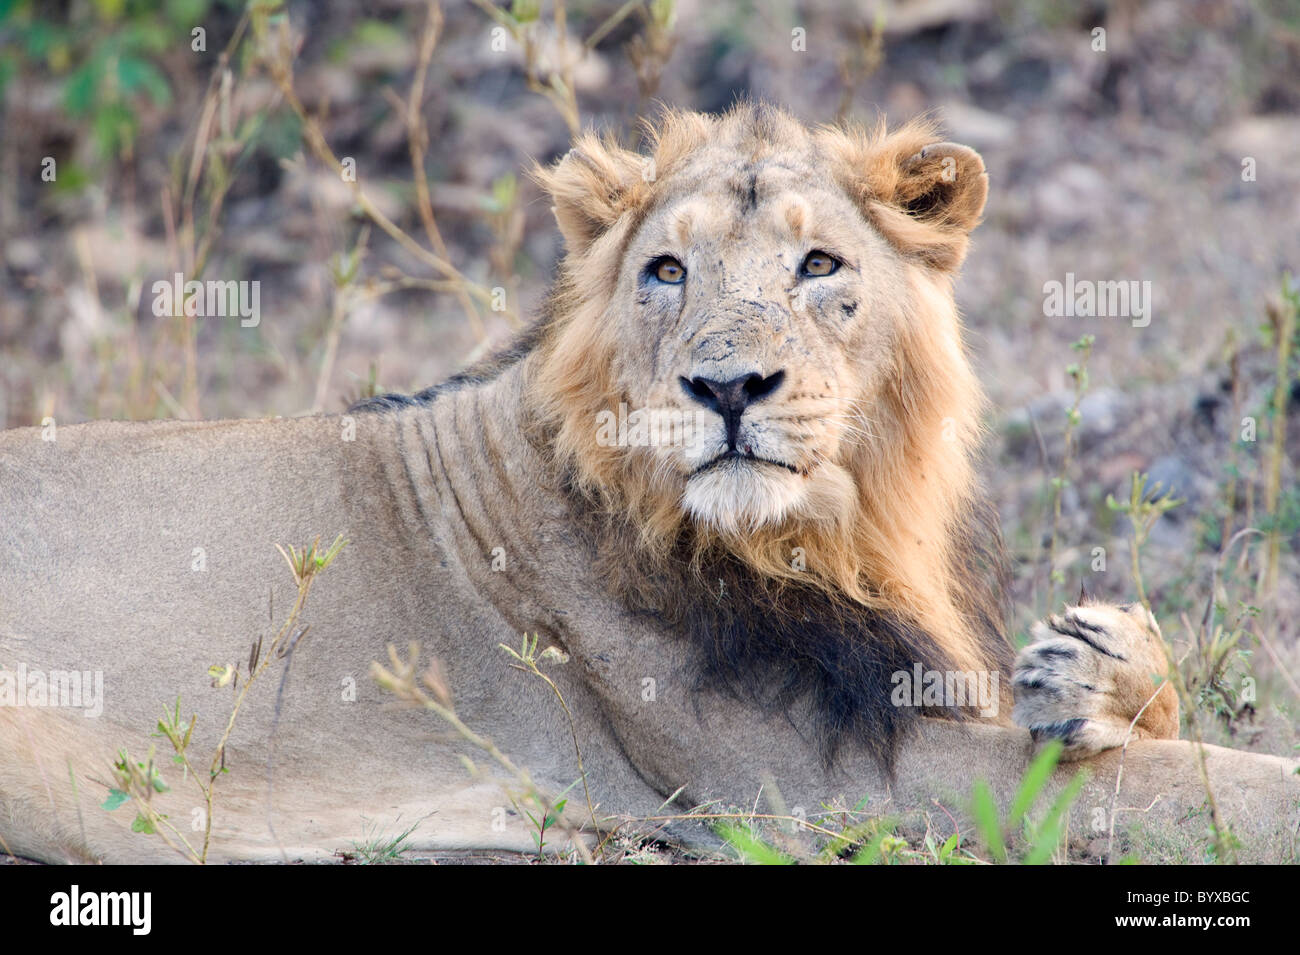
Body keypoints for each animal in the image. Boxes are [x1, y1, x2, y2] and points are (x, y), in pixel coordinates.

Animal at [0, 103, 1295, 864]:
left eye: (818, 263)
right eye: (667, 271)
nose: (726, 386)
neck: (838, 530)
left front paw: (1097, 659)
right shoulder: (805, 783)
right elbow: (1181, 784)